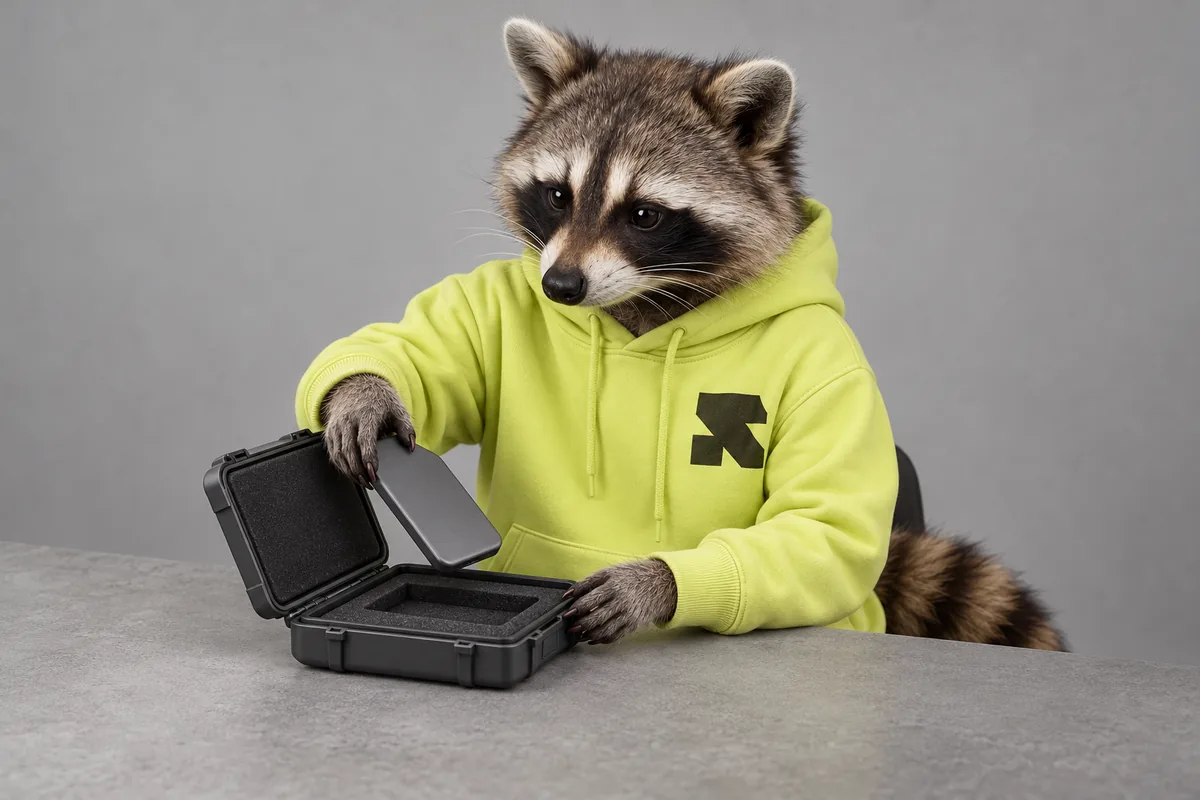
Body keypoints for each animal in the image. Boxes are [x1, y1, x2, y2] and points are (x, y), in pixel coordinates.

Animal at [318, 18, 1066, 652]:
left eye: (644, 214)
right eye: (558, 195)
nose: (559, 287)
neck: (647, 310)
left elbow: (822, 525)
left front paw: (655, 583)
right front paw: (364, 392)